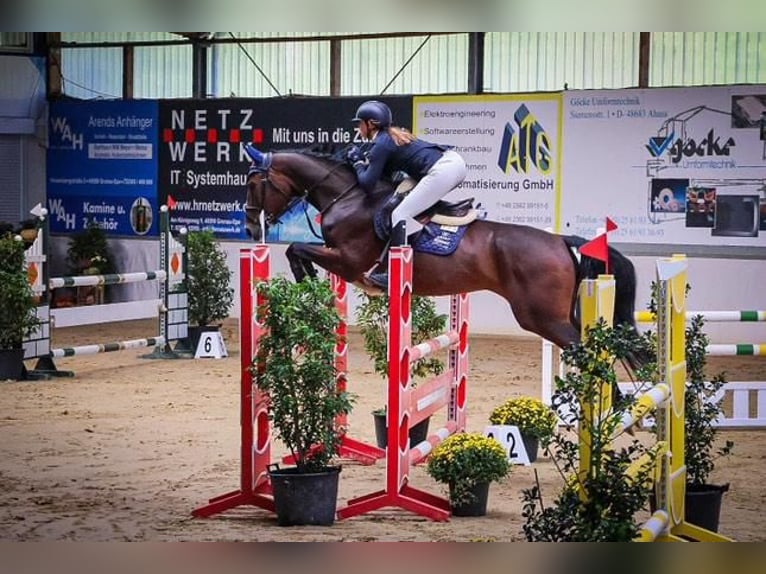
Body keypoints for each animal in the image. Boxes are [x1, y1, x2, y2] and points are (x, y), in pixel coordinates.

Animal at [244, 146, 648, 372]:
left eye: (252, 184)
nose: (249, 227)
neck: (348, 196)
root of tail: (562, 240)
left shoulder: (348, 261)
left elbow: (297, 250)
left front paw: (307, 278)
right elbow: (296, 250)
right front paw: (310, 284)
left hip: (541, 316)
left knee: (587, 350)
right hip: (556, 315)